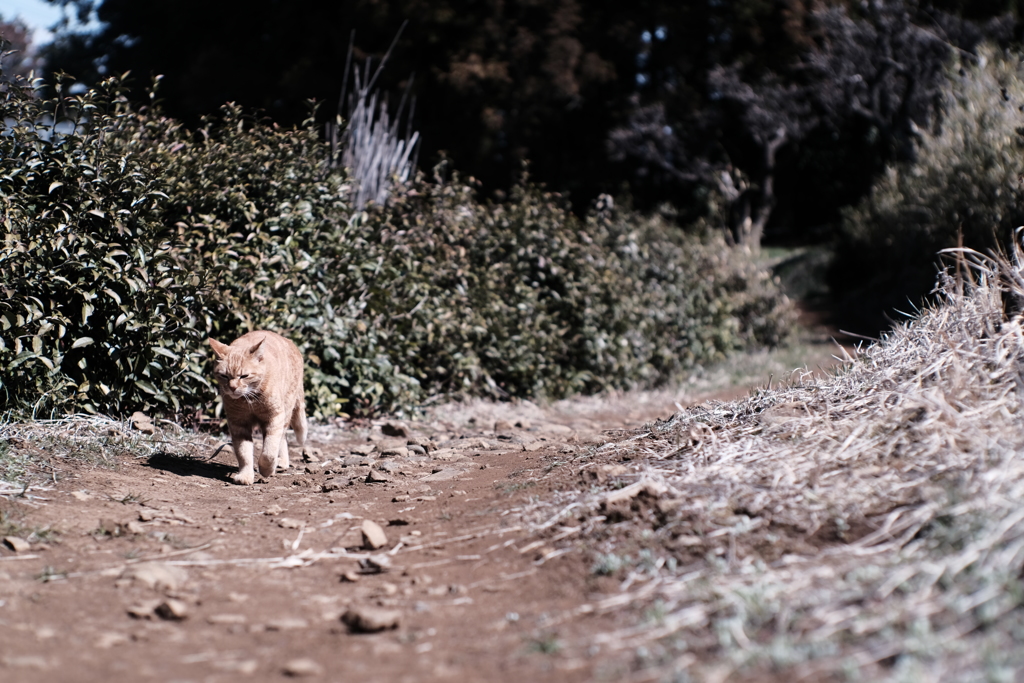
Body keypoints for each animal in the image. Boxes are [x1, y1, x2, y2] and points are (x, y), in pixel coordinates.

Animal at [205, 331, 305, 485]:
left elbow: (269, 451)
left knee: (281, 438)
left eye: (244, 376)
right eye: (224, 376)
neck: (249, 400)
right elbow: (243, 452)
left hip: (287, 411)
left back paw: (280, 463)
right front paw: (245, 475)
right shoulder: (238, 423)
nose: (232, 388)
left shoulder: (275, 417)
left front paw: (267, 469)